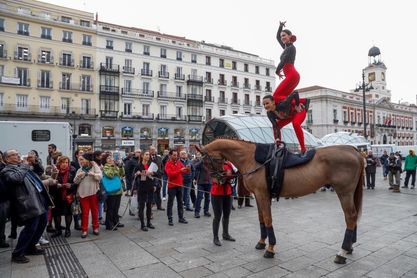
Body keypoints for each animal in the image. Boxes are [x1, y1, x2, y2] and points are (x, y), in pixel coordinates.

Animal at [195, 139, 360, 262]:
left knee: (350, 216)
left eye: (207, 162)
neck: (251, 158)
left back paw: (342, 252)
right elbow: (261, 219)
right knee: (354, 217)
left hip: (344, 192)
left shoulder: (262, 194)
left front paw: (270, 248)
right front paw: (262, 242)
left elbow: (268, 219)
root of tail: (353, 150)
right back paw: (349, 247)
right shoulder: (258, 196)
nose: (219, 180)